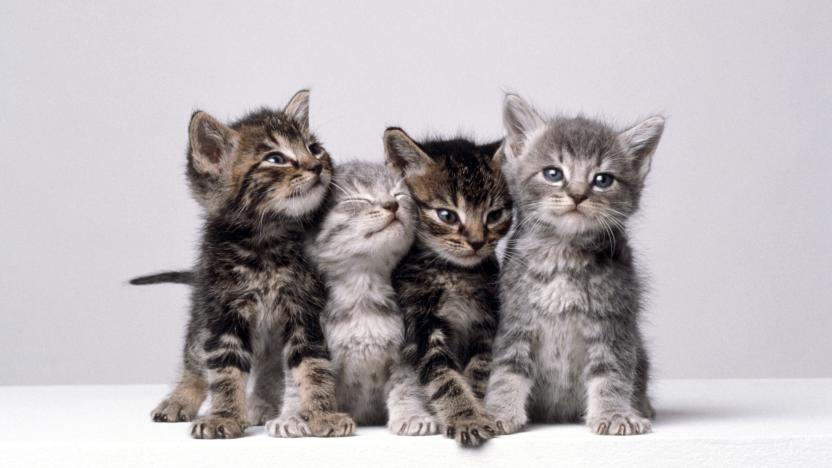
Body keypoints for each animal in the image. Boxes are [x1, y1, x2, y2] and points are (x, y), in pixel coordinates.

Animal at [148, 90, 352, 438]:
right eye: (275, 159)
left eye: (314, 148)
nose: (316, 166)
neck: (266, 244)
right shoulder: (224, 313)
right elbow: (225, 369)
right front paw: (224, 416)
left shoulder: (305, 310)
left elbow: (314, 364)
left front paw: (322, 414)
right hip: (202, 313)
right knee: (194, 359)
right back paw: (180, 398)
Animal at [290, 161, 438, 436]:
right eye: (358, 199)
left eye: (399, 194)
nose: (391, 205)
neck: (363, 294)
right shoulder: (308, 337)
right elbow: (300, 381)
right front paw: (292, 417)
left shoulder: (407, 351)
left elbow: (407, 386)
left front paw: (412, 415)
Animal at [386, 127, 512, 446]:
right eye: (447, 216)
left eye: (494, 215)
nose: (477, 242)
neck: (453, 272)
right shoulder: (419, 322)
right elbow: (442, 375)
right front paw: (466, 417)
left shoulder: (486, 319)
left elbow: (480, 367)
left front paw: (479, 407)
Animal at [484, 93, 668, 436]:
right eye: (553, 173)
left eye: (603, 179)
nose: (578, 194)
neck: (563, 255)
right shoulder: (515, 320)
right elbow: (506, 371)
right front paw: (497, 411)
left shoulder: (614, 323)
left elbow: (612, 374)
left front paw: (614, 414)